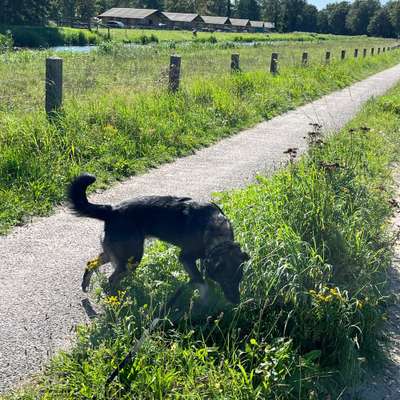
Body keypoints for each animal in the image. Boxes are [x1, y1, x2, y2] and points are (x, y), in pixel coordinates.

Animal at [69, 173, 250, 304]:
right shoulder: (185, 257)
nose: (236, 302)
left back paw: (87, 284)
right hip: (132, 258)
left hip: (119, 255)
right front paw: (205, 301)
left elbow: (201, 276)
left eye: (239, 279)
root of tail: (112, 210)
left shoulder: (201, 259)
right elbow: (201, 282)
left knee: (92, 263)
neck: (216, 231)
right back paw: (117, 300)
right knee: (110, 280)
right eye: (227, 281)